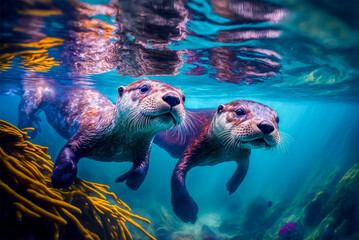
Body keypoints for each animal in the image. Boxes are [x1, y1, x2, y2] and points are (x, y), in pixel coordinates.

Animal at [19, 79, 188, 189]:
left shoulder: (145, 149)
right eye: (144, 88)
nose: (173, 98)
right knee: (26, 112)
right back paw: (28, 130)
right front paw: (62, 177)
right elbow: (68, 150)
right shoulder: (88, 133)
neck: (118, 144)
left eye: (183, 97)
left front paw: (126, 181)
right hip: (34, 96)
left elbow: (142, 167)